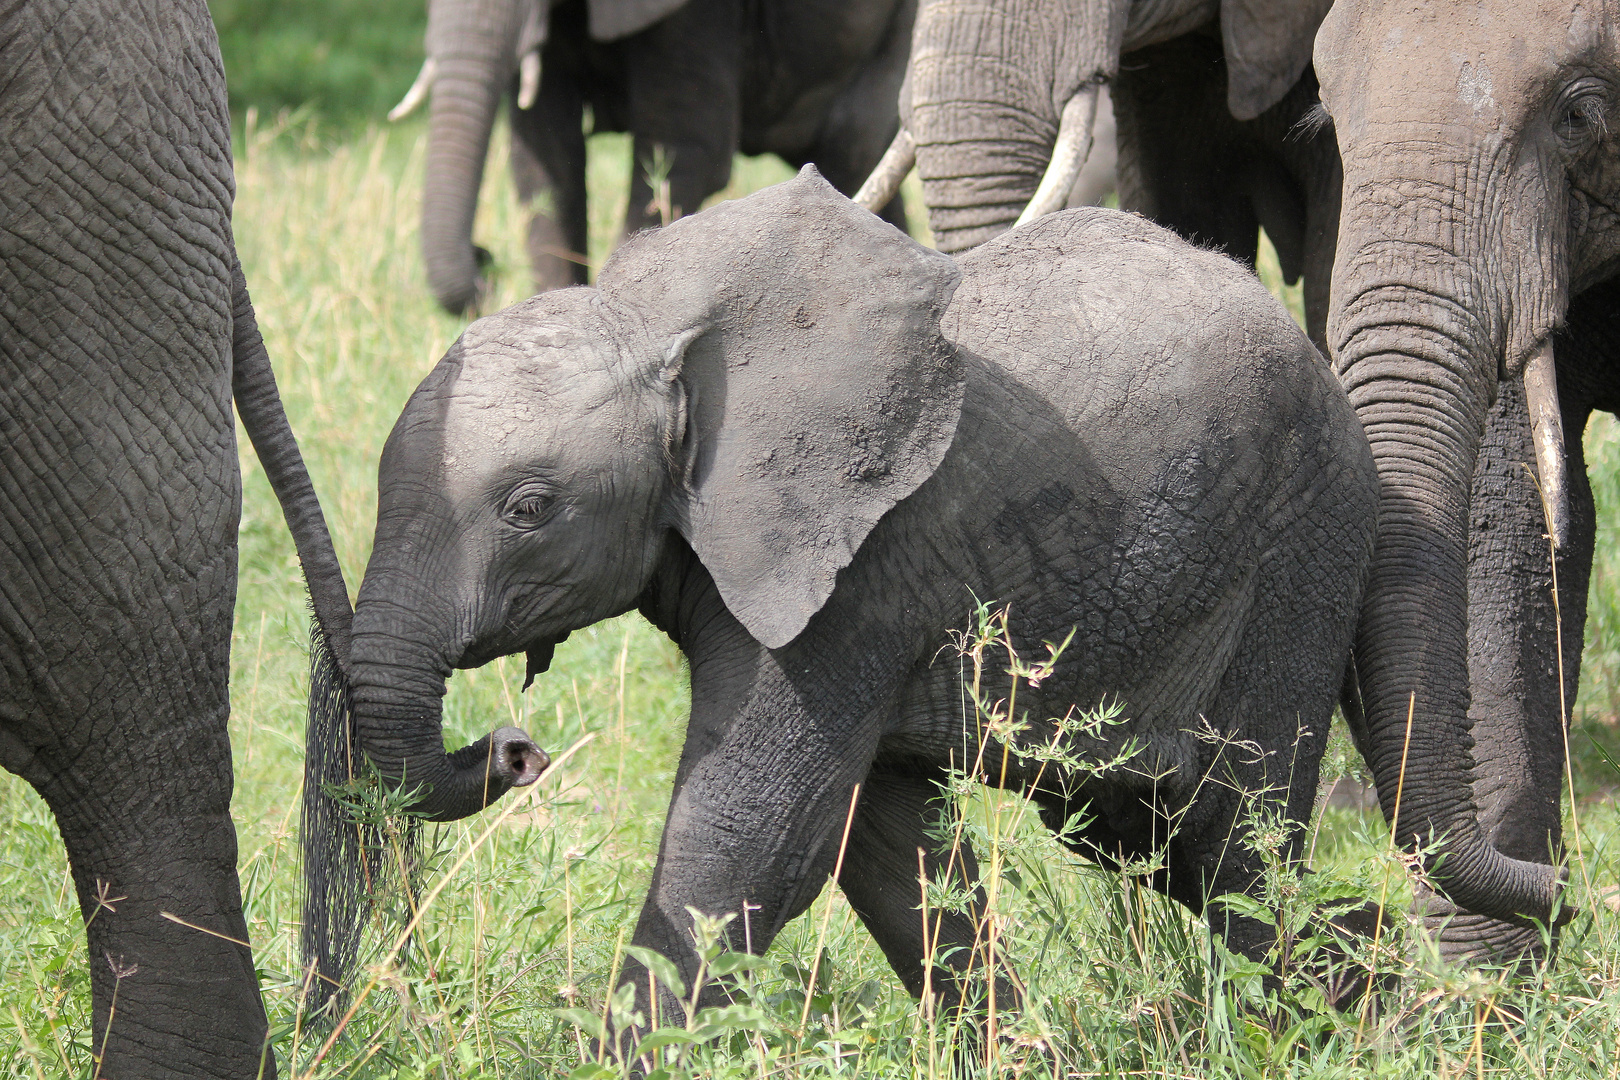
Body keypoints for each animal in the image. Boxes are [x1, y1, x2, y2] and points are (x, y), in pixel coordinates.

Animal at [345, 170, 1380, 1036]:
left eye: (529, 509)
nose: (515, 749)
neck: (662, 332)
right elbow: (887, 849)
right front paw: (1018, 1049)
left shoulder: (857, 580)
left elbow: (755, 835)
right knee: (1169, 841)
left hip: (1300, 545)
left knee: (1234, 843)